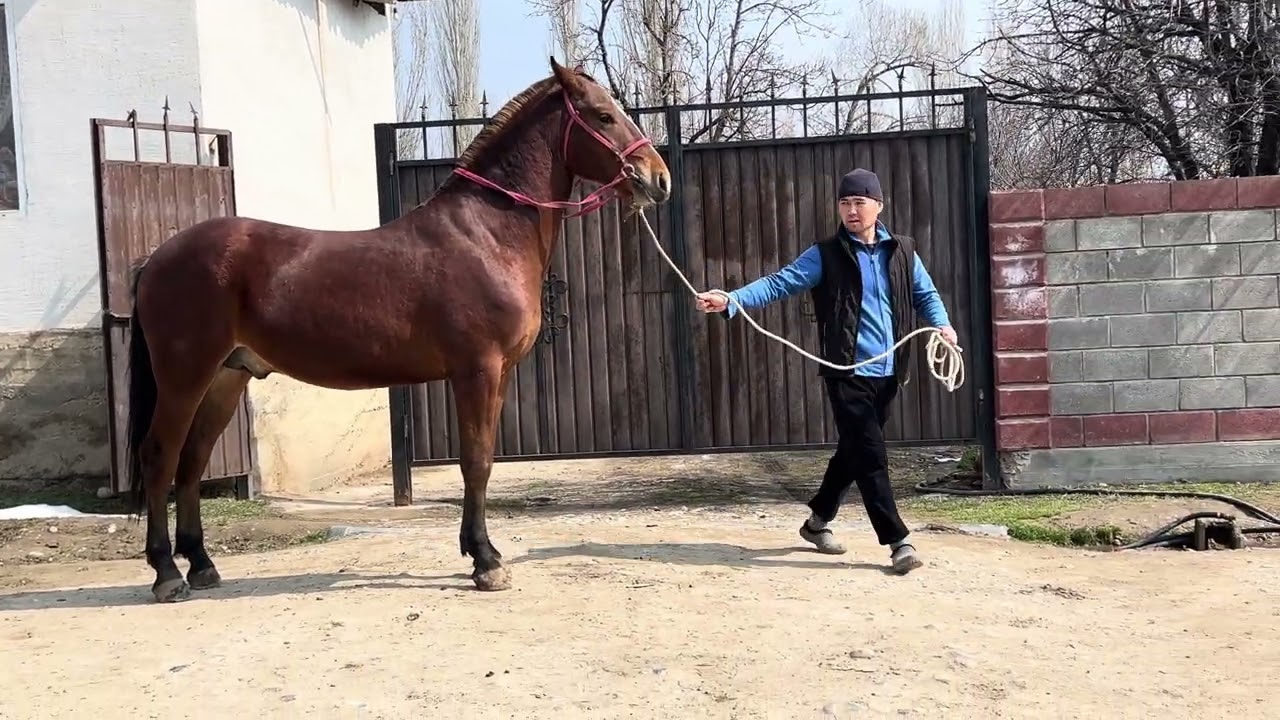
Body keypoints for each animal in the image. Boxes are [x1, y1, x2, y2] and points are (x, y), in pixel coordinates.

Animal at [123, 57, 673, 603]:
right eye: (603, 116)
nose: (658, 179)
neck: (485, 234)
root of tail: (157, 258)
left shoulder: (499, 375)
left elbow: (485, 459)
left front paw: (481, 553)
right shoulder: (477, 371)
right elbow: (476, 461)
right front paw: (485, 562)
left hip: (226, 377)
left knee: (192, 461)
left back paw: (201, 564)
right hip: (185, 376)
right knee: (160, 456)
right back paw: (167, 573)